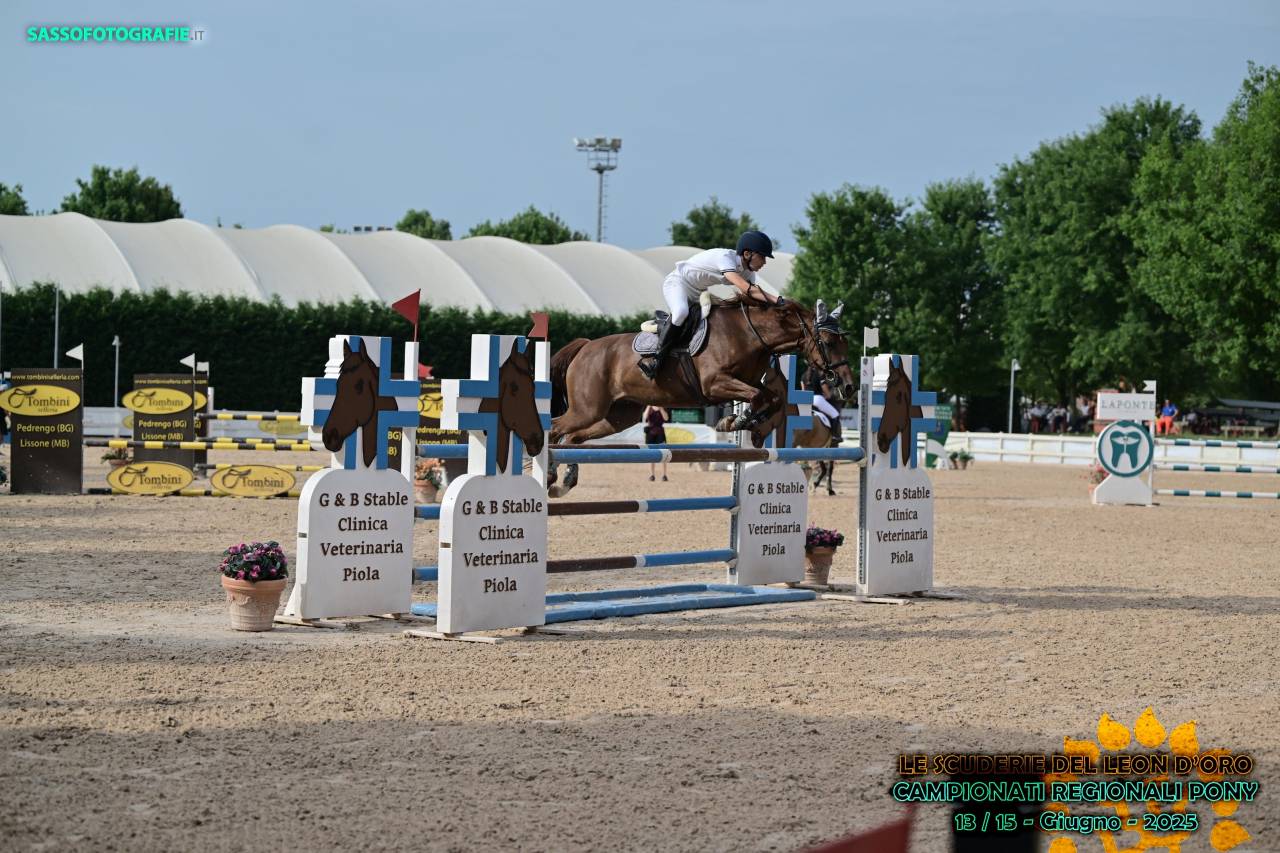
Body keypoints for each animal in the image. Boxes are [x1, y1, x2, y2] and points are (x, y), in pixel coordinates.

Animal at [548, 298, 856, 496]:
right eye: (829, 342)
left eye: (846, 342)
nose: (849, 386)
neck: (751, 335)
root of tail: (585, 346)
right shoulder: (715, 384)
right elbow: (757, 396)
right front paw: (738, 421)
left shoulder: (747, 382)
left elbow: (772, 399)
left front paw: (745, 424)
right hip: (587, 409)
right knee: (555, 429)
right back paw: (550, 474)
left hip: (618, 416)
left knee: (574, 437)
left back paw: (566, 479)